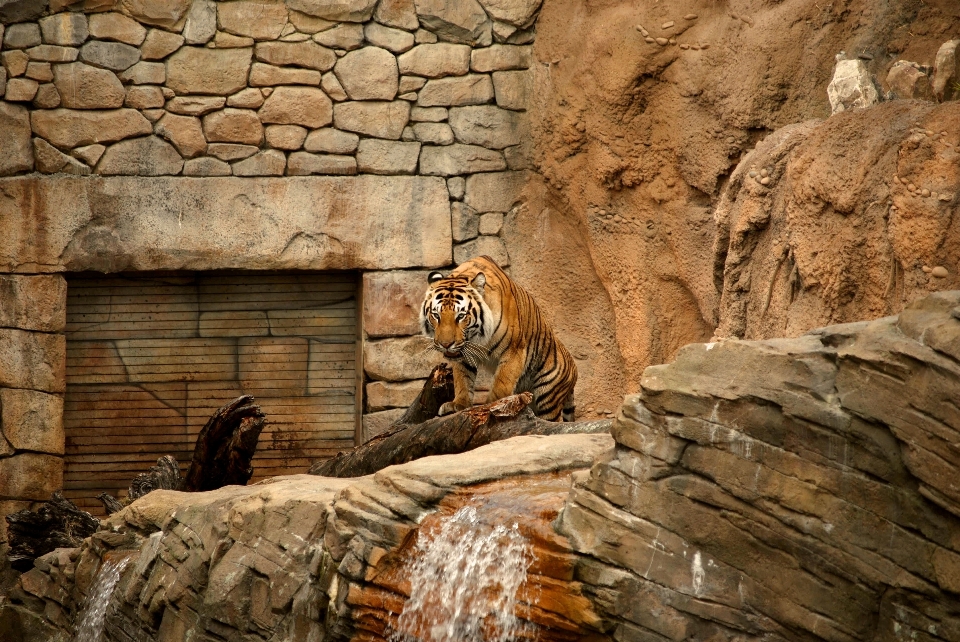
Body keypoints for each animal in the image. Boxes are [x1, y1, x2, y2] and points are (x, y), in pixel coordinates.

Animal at [420, 255, 576, 420]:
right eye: (436, 315)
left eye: (461, 316)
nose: (445, 344)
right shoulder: (463, 353)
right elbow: (462, 379)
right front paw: (458, 405)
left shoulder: (514, 350)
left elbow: (502, 382)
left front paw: (492, 406)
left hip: (548, 396)